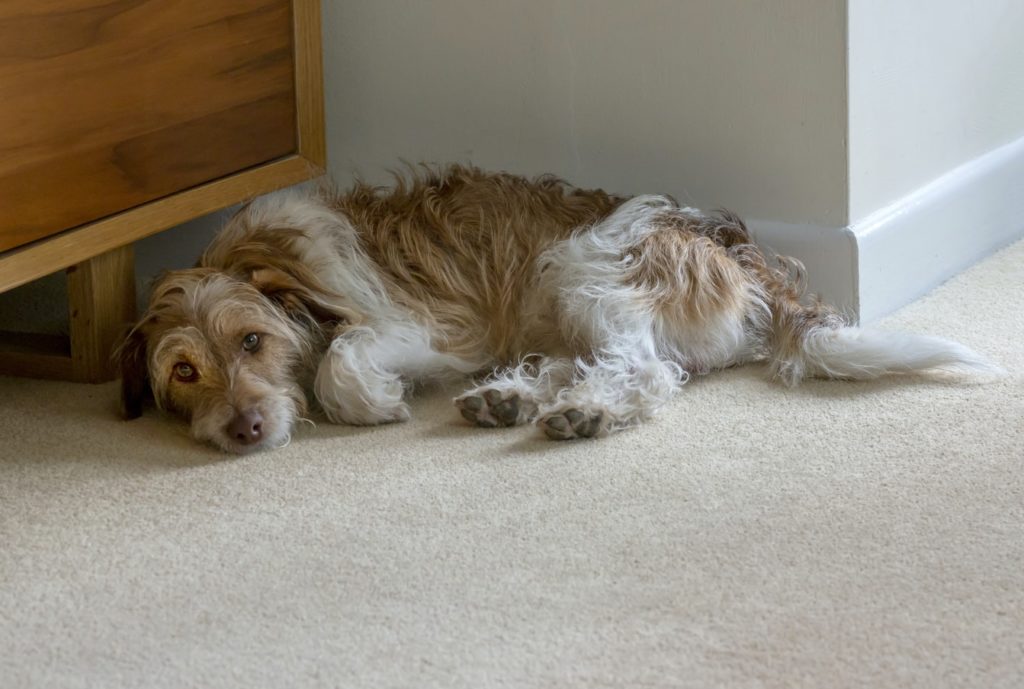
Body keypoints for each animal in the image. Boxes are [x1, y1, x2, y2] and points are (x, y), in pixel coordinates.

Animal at [117, 164, 999, 454]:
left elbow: (339, 363)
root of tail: (734, 249)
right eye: (184, 371)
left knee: (645, 372)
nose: (243, 429)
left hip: (582, 268)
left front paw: (373, 401)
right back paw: (512, 399)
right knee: (604, 364)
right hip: (571, 297)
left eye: (253, 341)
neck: (259, 260)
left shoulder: (416, 328)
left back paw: (579, 413)